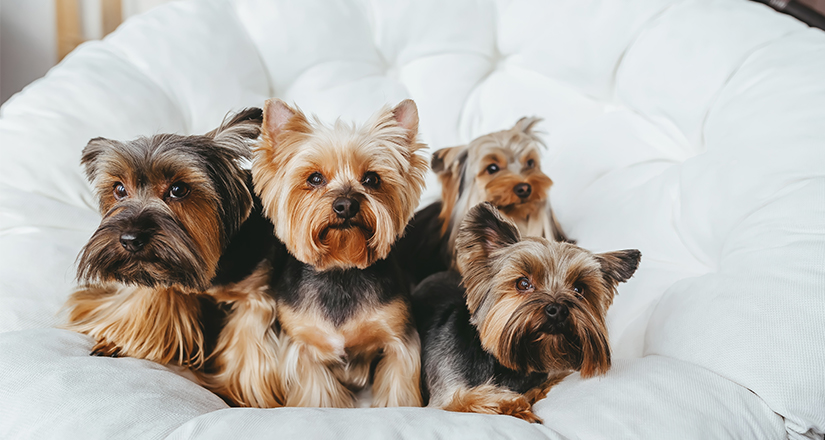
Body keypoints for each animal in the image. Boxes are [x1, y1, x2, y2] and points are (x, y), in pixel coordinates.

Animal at [211, 98, 432, 408]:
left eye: (372, 179)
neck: (340, 270)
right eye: (315, 178)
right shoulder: (303, 347)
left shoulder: (398, 341)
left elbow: (397, 390)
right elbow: (317, 394)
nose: (346, 205)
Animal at [416, 203, 640, 422]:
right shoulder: (445, 397)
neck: (511, 369)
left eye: (579, 289)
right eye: (523, 283)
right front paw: (517, 406)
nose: (558, 310)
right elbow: (465, 399)